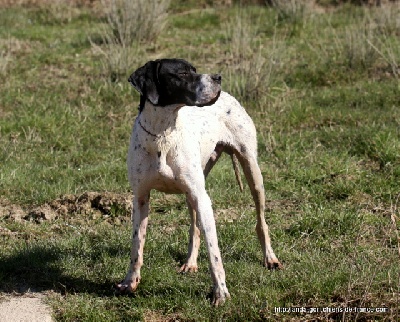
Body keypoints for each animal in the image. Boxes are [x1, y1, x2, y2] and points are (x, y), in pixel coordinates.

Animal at [115, 58, 284, 306]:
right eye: (182, 73)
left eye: (194, 69)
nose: (217, 77)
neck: (162, 134)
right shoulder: (141, 198)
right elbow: (137, 245)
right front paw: (130, 282)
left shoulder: (204, 199)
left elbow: (214, 253)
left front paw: (220, 293)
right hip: (191, 194)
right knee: (194, 227)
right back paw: (190, 262)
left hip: (252, 173)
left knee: (261, 221)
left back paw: (270, 258)